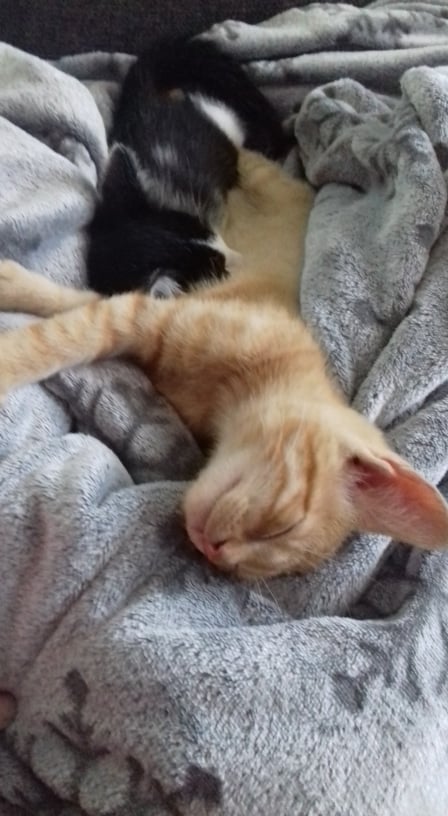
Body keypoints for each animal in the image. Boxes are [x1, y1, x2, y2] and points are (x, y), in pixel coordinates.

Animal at [0, 150, 447, 581]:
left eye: (248, 571)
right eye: (284, 526)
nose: (215, 551)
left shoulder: (158, 309)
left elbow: (88, 305)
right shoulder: (157, 312)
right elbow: (69, 326)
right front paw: (13, 314)